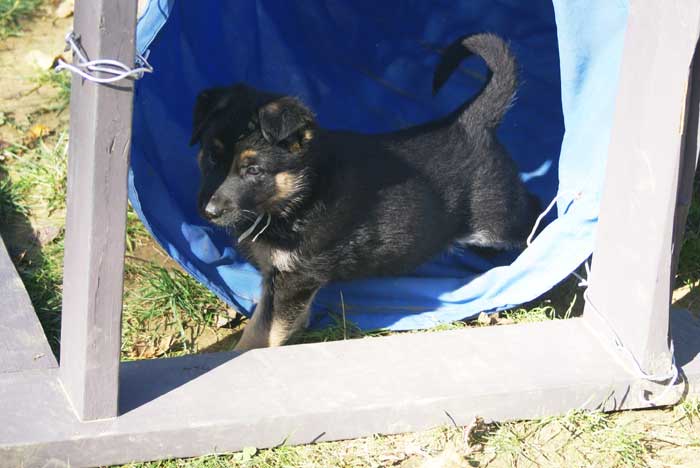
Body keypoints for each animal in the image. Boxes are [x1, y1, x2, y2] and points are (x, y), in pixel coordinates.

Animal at [189, 34, 540, 350]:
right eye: (211, 156)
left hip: (496, 219)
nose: (208, 211)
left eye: (253, 170)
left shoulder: (296, 277)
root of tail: (469, 123)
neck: (299, 196)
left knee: (531, 211)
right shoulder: (282, 276)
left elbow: (265, 329)